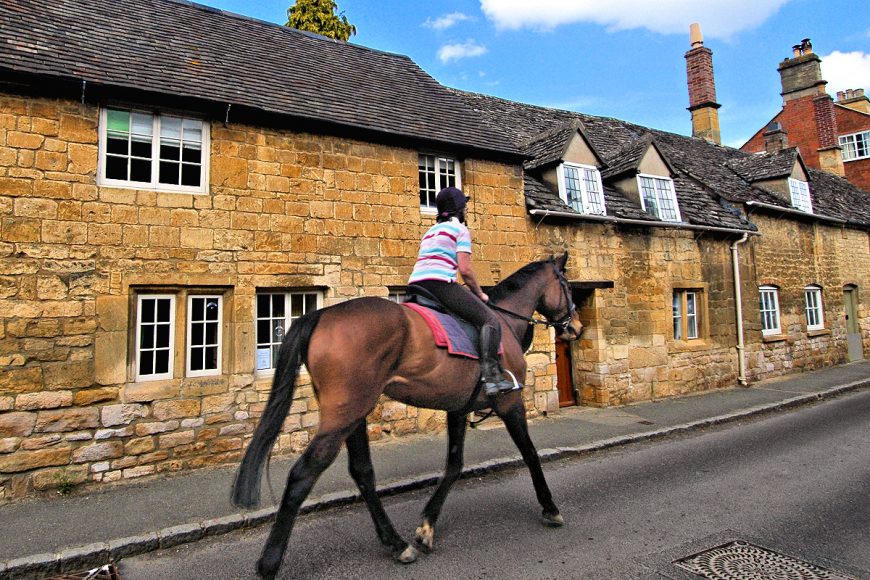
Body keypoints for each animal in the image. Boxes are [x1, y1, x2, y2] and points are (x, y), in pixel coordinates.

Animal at [232, 251, 584, 576]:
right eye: (567, 286)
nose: (578, 328)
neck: (506, 322)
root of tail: (321, 315)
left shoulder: (458, 408)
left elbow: (454, 465)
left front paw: (427, 527)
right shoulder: (511, 402)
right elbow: (530, 453)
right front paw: (550, 507)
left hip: (354, 412)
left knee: (362, 472)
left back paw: (395, 543)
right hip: (342, 416)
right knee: (303, 474)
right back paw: (269, 562)